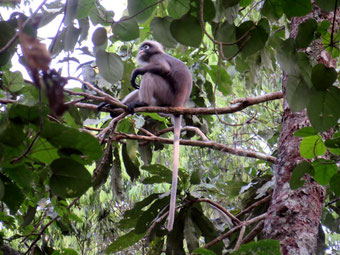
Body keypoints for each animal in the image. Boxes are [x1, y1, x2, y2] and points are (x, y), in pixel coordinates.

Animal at [99, 41, 193, 231]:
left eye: (147, 47)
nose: (142, 49)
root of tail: (178, 106)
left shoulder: (157, 58)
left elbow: (162, 68)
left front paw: (136, 72)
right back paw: (116, 109)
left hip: (166, 97)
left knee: (150, 75)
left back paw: (142, 102)